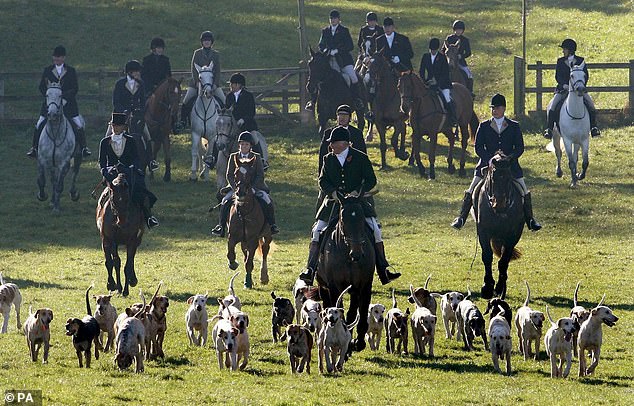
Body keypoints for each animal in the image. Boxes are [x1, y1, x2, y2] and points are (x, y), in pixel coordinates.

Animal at [37, 84, 82, 214]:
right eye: (47, 95)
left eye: (60, 96)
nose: (52, 114)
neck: (55, 131)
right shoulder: (42, 159)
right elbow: (42, 180)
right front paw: (42, 196)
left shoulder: (64, 162)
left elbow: (60, 185)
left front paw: (56, 208)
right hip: (52, 164)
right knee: (53, 179)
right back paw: (52, 200)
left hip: (78, 157)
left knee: (74, 174)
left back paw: (73, 194)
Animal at [226, 155, 270, 288]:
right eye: (235, 173)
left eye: (250, 174)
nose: (240, 193)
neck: (244, 212)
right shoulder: (232, 237)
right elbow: (231, 253)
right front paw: (233, 264)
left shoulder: (252, 240)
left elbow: (249, 263)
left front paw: (248, 282)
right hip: (244, 241)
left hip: (267, 234)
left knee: (265, 250)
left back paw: (264, 277)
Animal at [316, 193, 376, 352]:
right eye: (343, 220)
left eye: (362, 218)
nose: (357, 253)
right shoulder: (334, 287)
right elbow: (337, 308)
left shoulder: (364, 285)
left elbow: (360, 313)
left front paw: (358, 343)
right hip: (323, 286)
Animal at [476, 157, 520, 300]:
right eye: (493, 177)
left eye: (508, 177)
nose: (499, 203)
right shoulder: (483, 232)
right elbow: (487, 256)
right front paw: (487, 286)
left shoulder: (512, 235)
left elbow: (504, 261)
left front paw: (500, 288)